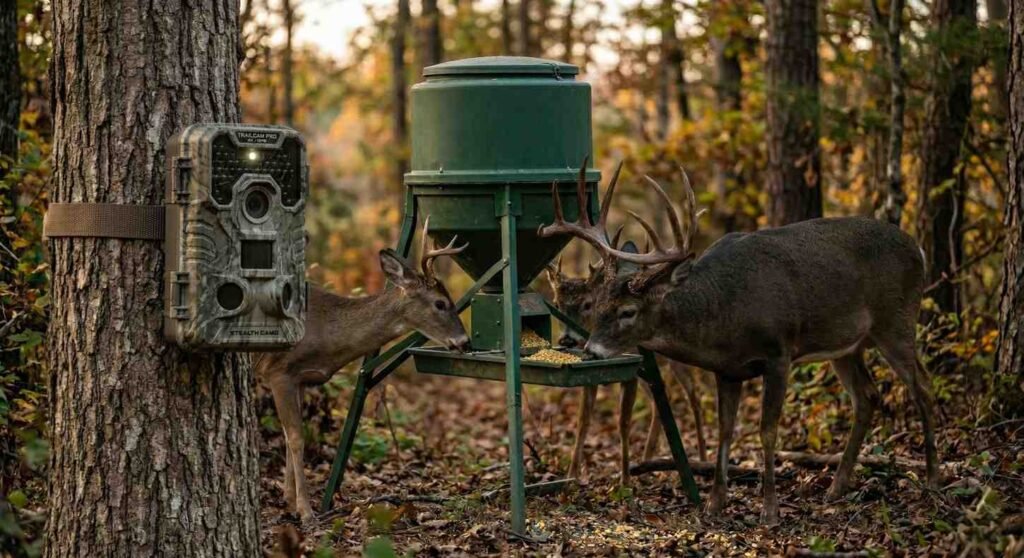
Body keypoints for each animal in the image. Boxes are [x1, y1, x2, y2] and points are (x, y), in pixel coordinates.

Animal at [255, 218, 471, 525]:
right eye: (440, 303)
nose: (465, 342)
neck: (325, 330)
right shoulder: (278, 371)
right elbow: (296, 437)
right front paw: (306, 511)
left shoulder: (299, 379)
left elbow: (288, 435)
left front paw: (288, 500)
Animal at [539, 164, 939, 525]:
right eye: (598, 305)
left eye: (627, 311)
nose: (590, 350)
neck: (726, 315)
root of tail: (918, 249)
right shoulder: (727, 371)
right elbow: (726, 431)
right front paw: (714, 505)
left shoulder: (779, 353)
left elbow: (766, 430)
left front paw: (769, 510)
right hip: (847, 344)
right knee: (867, 396)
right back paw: (836, 487)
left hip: (896, 320)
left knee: (922, 385)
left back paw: (933, 477)